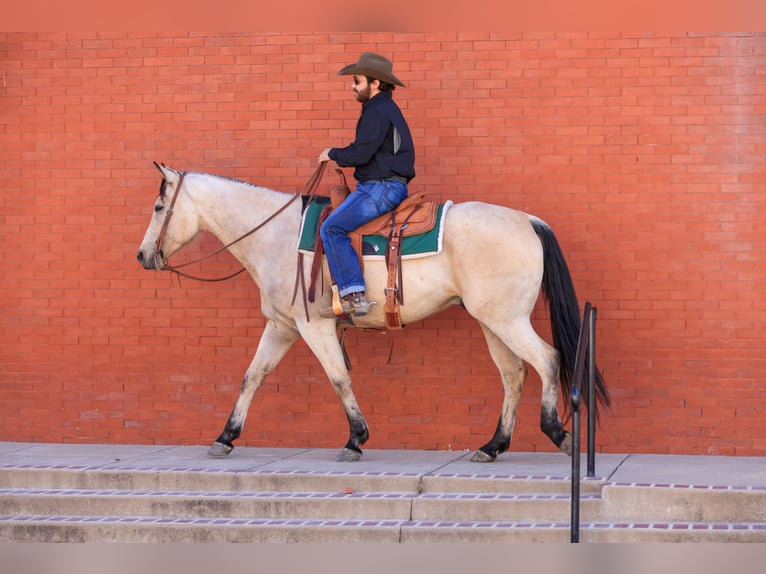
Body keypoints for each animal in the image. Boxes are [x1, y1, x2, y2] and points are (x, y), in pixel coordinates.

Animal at [135, 162, 608, 464]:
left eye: (158, 208)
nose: (142, 256)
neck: (276, 236)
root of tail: (528, 220)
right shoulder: (283, 327)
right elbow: (253, 376)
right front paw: (226, 437)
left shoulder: (313, 325)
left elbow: (338, 377)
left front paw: (355, 439)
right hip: (492, 321)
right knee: (514, 374)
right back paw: (493, 446)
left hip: (506, 320)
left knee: (547, 359)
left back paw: (557, 432)